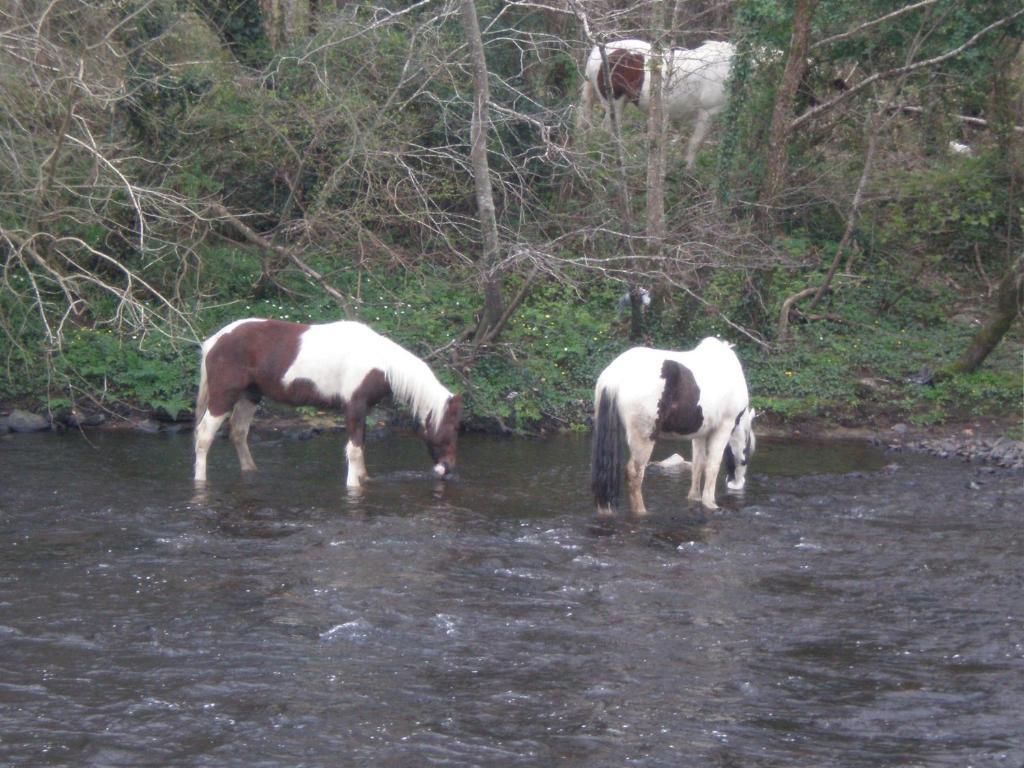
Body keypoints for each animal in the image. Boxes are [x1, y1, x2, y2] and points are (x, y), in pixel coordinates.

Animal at [191, 319, 460, 487]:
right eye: (451, 429)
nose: (447, 469)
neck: (380, 363)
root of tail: (214, 341)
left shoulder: (363, 410)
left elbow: (361, 447)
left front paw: (364, 479)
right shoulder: (354, 407)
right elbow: (353, 450)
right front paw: (353, 486)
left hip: (250, 395)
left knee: (238, 432)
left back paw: (250, 471)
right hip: (223, 397)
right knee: (204, 436)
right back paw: (200, 480)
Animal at [577, 38, 737, 167]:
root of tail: (597, 52)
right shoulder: (708, 112)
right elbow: (696, 143)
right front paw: (687, 170)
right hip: (614, 103)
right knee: (609, 130)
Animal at [593, 337, 753, 514]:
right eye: (747, 451)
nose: (737, 484)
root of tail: (614, 376)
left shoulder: (700, 433)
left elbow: (698, 464)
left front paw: (695, 498)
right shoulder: (724, 427)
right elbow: (713, 465)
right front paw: (710, 503)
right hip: (644, 438)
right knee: (635, 475)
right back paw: (641, 512)